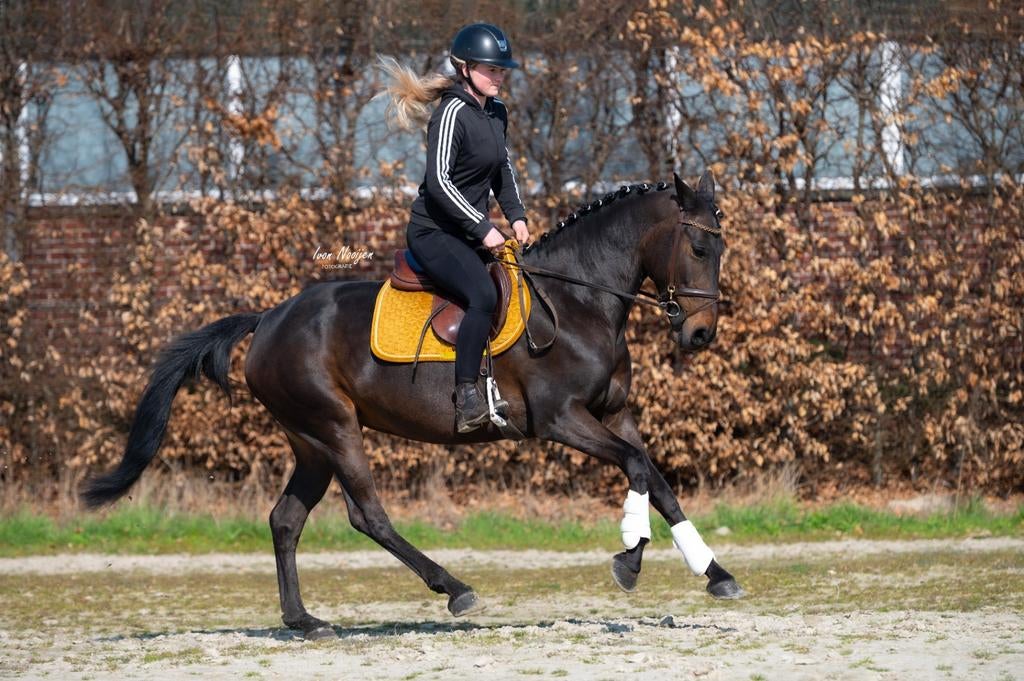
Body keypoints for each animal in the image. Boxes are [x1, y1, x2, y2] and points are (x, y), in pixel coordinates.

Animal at [82, 169, 745, 640]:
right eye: (698, 247)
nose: (700, 335)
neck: (580, 300)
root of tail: (268, 318)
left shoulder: (614, 415)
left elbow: (656, 477)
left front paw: (715, 573)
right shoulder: (562, 420)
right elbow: (635, 470)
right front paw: (630, 559)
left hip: (310, 442)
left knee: (286, 519)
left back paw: (304, 621)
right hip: (334, 427)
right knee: (367, 516)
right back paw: (453, 588)